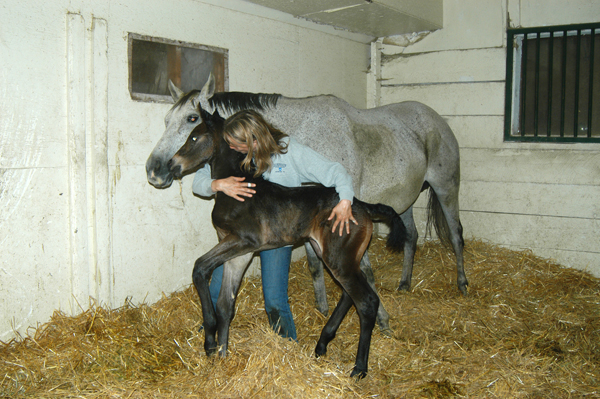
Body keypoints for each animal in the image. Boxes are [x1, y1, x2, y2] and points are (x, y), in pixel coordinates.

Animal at [148, 75, 466, 334]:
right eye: (165, 120)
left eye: (192, 120)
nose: (156, 170)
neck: (302, 132)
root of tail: (436, 118)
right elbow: (315, 264)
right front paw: (322, 307)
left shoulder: (344, 210)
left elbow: (365, 270)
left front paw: (382, 320)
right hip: (404, 201)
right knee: (411, 236)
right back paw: (405, 283)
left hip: (446, 188)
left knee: (456, 234)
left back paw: (462, 283)